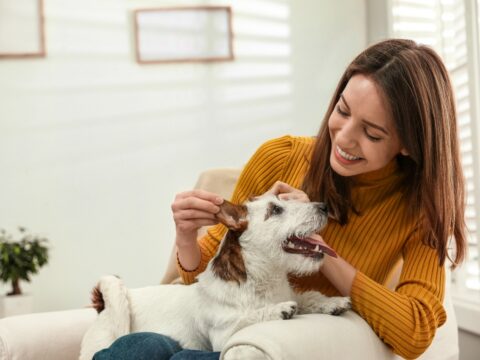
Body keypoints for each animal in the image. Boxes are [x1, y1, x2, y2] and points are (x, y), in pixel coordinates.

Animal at [78, 195, 348, 358]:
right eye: (276, 209)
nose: (324, 207)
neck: (262, 280)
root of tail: (102, 306)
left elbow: (308, 297)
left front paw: (331, 302)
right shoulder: (223, 337)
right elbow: (248, 317)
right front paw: (277, 310)